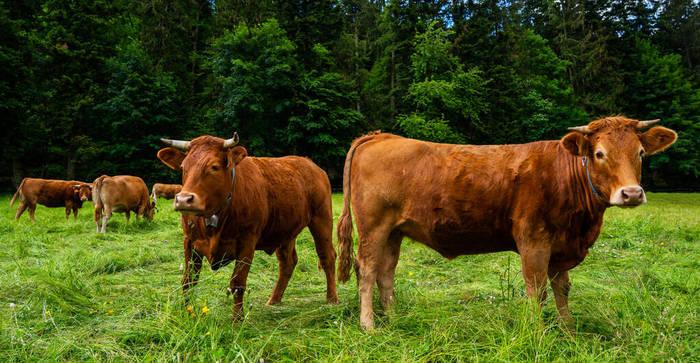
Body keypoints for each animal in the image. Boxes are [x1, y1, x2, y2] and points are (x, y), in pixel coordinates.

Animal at [157, 133, 338, 322]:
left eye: (214, 167)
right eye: (183, 167)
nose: (184, 199)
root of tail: (309, 163)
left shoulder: (247, 241)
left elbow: (237, 283)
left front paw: (237, 320)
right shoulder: (190, 241)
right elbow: (189, 280)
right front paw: (187, 313)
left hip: (322, 219)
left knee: (327, 256)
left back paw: (332, 299)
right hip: (285, 231)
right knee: (287, 263)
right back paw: (274, 300)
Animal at [338, 116, 680, 330]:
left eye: (640, 152)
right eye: (599, 153)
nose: (631, 193)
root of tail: (381, 136)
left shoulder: (563, 245)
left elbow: (562, 288)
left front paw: (568, 329)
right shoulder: (534, 240)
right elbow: (537, 290)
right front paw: (538, 332)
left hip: (394, 231)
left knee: (386, 273)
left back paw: (394, 319)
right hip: (373, 227)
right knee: (367, 270)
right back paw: (369, 325)